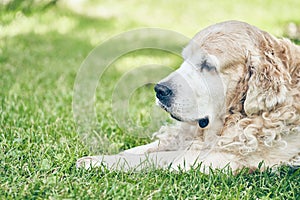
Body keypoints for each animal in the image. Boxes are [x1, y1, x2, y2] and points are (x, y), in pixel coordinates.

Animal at [77, 20, 300, 173]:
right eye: (185, 59)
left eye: (208, 65)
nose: (159, 90)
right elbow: (152, 147)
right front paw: (120, 151)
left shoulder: (217, 159)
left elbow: (159, 158)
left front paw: (99, 161)